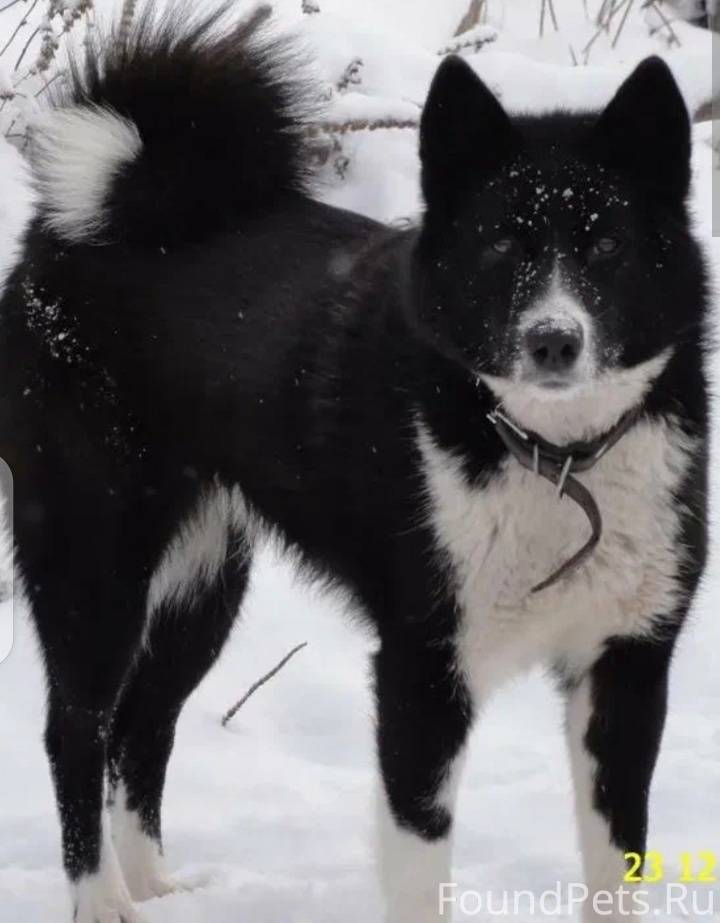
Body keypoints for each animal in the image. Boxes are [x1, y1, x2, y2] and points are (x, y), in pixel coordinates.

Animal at [0, 1, 708, 923]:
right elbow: (420, 868)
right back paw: (103, 899)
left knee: (142, 724)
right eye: (500, 247)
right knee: (75, 728)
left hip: (206, 577)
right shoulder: (420, 671)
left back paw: (156, 885)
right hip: (92, 560)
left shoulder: (625, 669)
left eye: (608, 247)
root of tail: (88, 216)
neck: (552, 457)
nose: (553, 341)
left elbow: (616, 863)